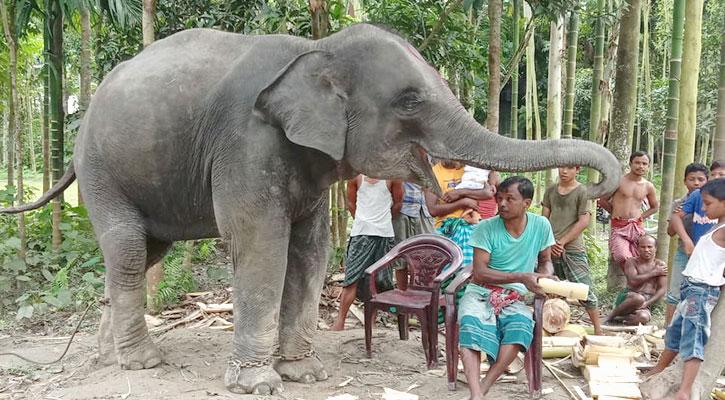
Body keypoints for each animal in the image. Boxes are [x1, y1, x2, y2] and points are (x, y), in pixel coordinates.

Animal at [2, 24, 620, 394]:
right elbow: (262, 246)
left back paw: (111, 356)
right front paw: (258, 385)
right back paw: (142, 364)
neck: (315, 47)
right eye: (410, 100)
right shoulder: (246, 141)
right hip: (103, 168)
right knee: (130, 250)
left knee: (141, 252)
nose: (593, 189)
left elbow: (310, 248)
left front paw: (305, 373)